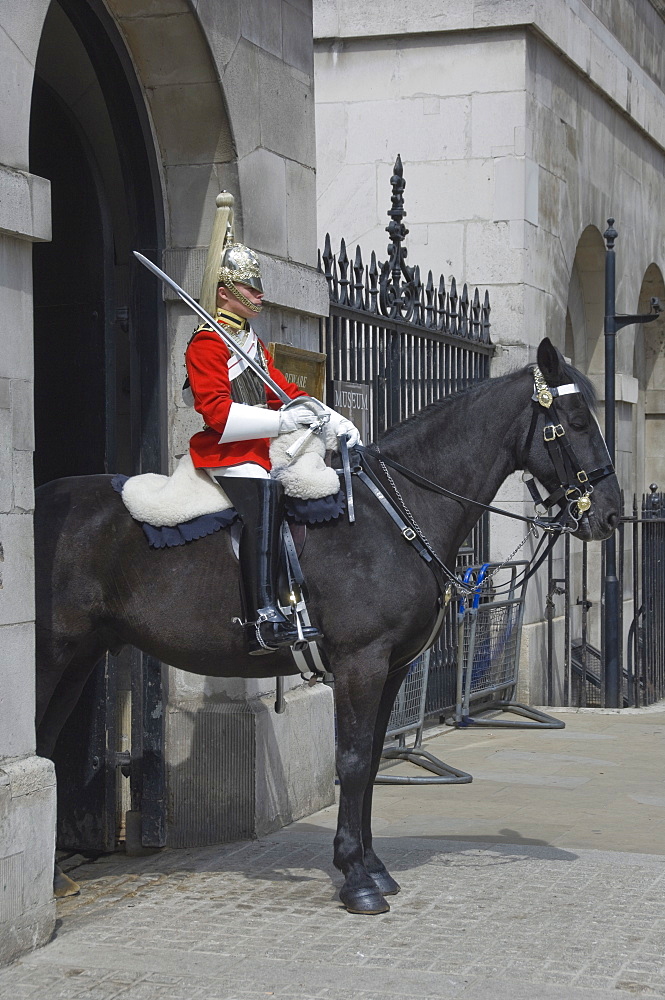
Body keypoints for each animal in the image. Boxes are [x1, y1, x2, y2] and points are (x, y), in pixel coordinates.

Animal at [35, 342, 616, 916]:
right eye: (576, 420)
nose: (610, 516)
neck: (395, 513)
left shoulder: (392, 667)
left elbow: (374, 758)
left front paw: (374, 867)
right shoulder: (362, 662)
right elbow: (354, 761)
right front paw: (356, 878)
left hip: (81, 655)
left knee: (45, 738)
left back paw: (57, 878)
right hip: (50, 654)